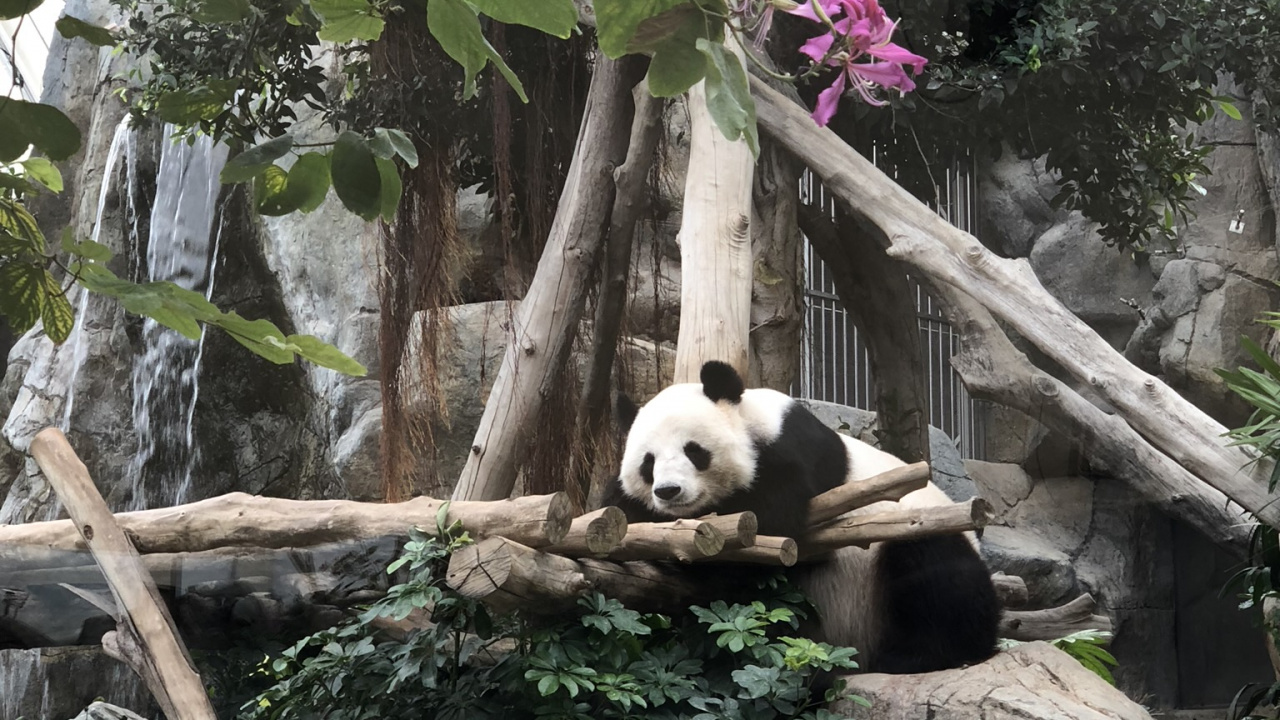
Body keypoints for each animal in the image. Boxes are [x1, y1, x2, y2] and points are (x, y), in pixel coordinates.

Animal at [600, 360, 1001, 674]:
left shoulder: (794, 453)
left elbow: (764, 527)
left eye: (694, 451)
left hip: (911, 532)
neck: (752, 418)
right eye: (648, 462)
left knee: (938, 575)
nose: (668, 491)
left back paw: (918, 657)